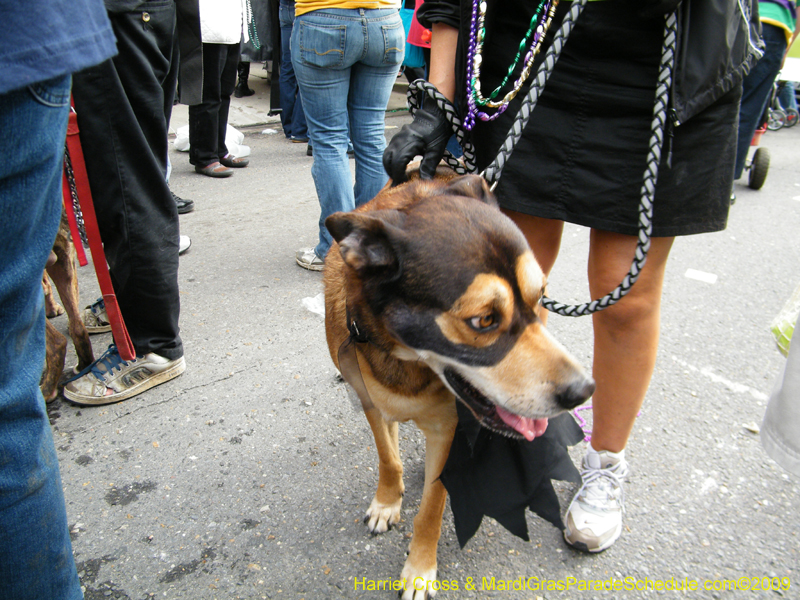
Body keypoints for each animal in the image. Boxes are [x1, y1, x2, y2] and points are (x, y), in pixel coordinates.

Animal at [324, 166, 592, 596]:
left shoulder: (449, 429)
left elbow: (432, 506)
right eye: (484, 320)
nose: (583, 391)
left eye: (539, 297)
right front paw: (387, 502)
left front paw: (419, 569)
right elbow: (388, 458)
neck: (407, 357)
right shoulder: (370, 401)